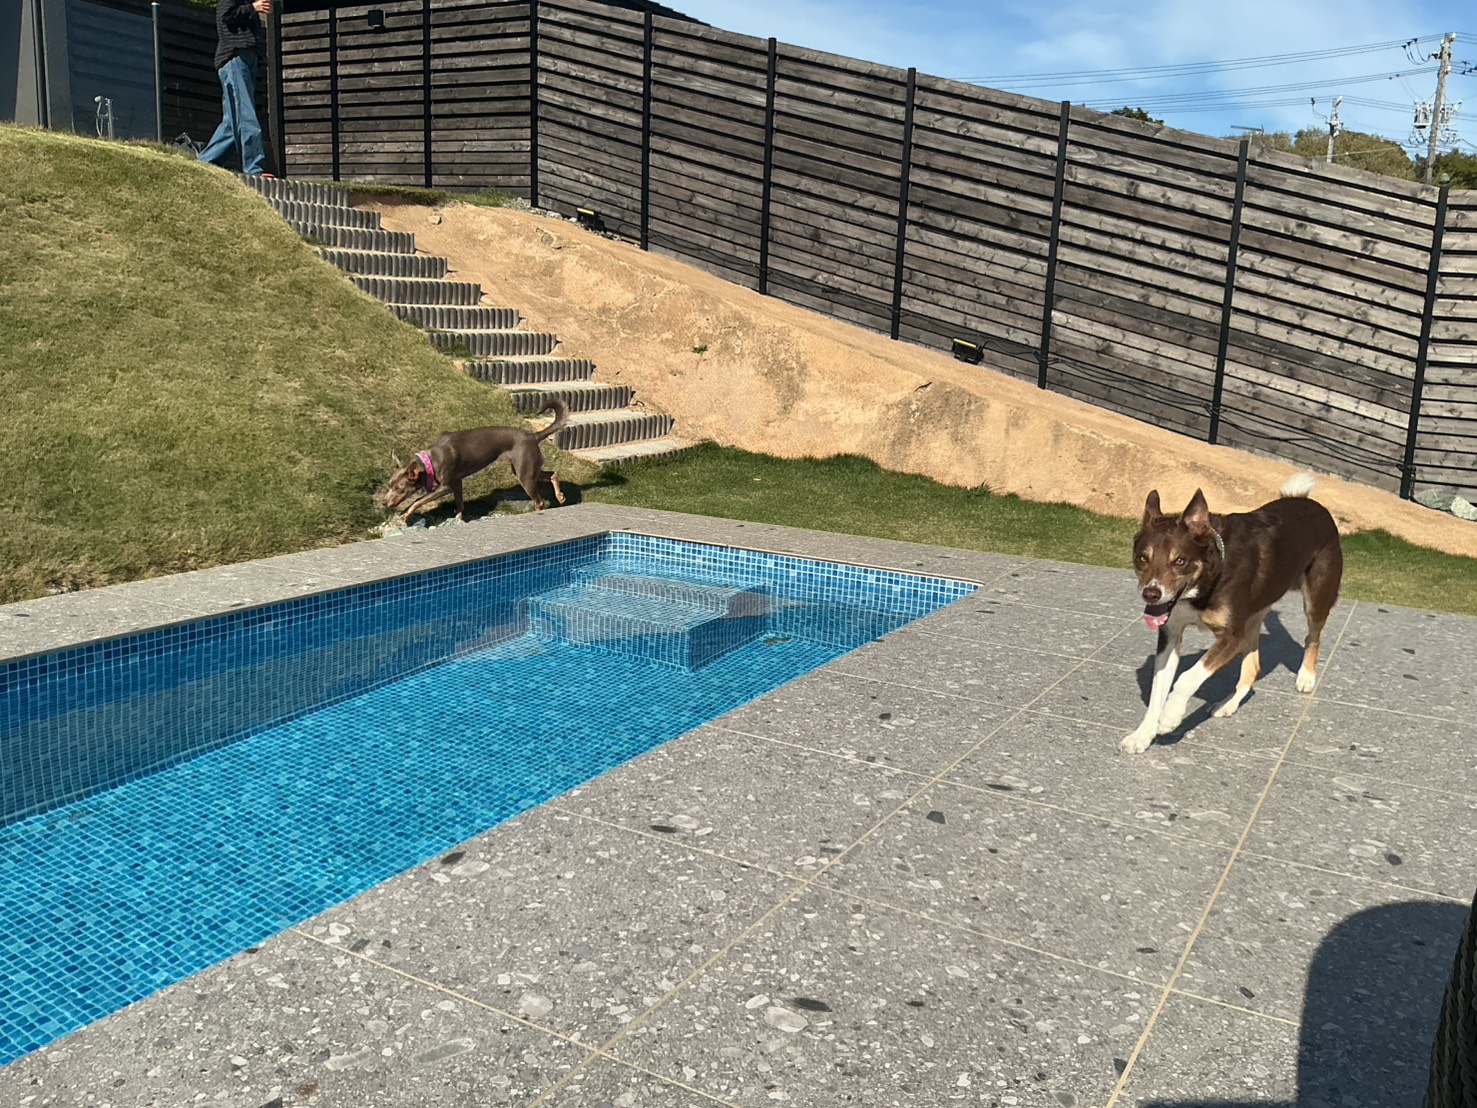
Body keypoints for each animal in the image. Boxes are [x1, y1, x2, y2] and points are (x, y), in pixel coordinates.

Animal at [378, 399, 570, 521]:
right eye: (389, 485)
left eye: (399, 489)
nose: (384, 502)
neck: (431, 461)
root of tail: (533, 436)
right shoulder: (457, 482)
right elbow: (460, 503)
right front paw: (458, 518)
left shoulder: (445, 486)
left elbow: (418, 501)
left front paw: (405, 514)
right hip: (524, 469)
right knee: (553, 474)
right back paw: (560, 496)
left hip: (525, 474)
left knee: (539, 501)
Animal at [1120, 472, 1343, 754]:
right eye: (1142, 558)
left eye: (1180, 561)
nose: (1151, 594)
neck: (1209, 578)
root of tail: (1308, 501)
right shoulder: (1170, 634)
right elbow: (1158, 690)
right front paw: (1143, 734)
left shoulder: (1231, 636)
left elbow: (1186, 678)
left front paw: (1170, 716)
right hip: (1252, 617)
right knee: (1253, 669)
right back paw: (1228, 704)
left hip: (1316, 598)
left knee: (1312, 637)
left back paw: (1306, 677)